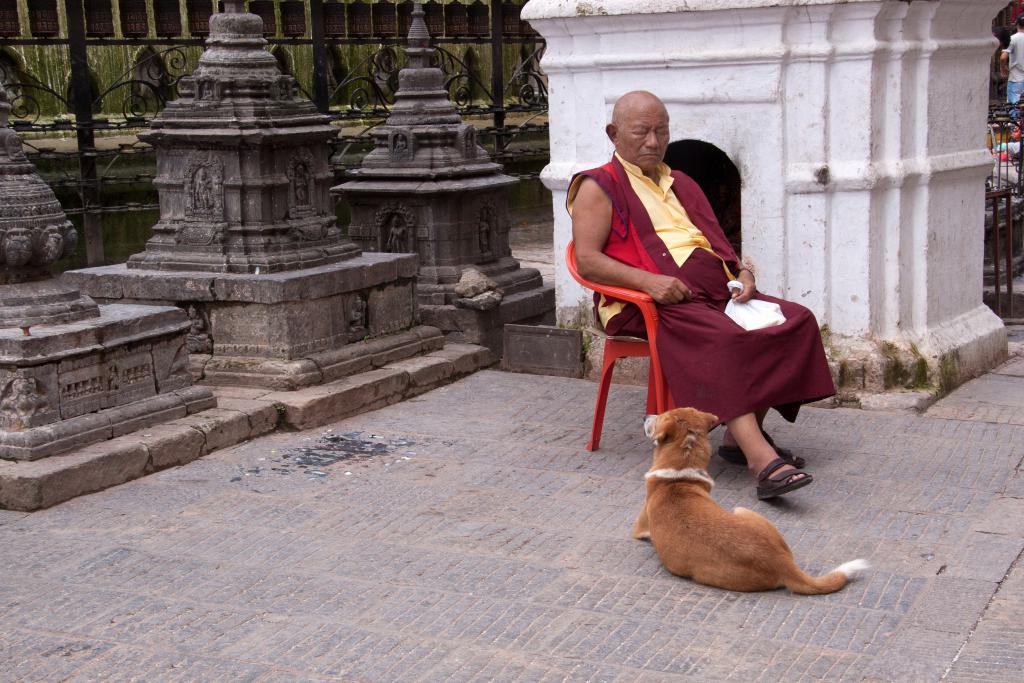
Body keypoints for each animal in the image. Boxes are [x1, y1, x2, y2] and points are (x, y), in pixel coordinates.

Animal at [634, 409, 868, 593]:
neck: (680, 474)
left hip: (740, 509)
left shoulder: (639, 528)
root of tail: (782, 563)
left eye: (661, 416)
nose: (645, 415)